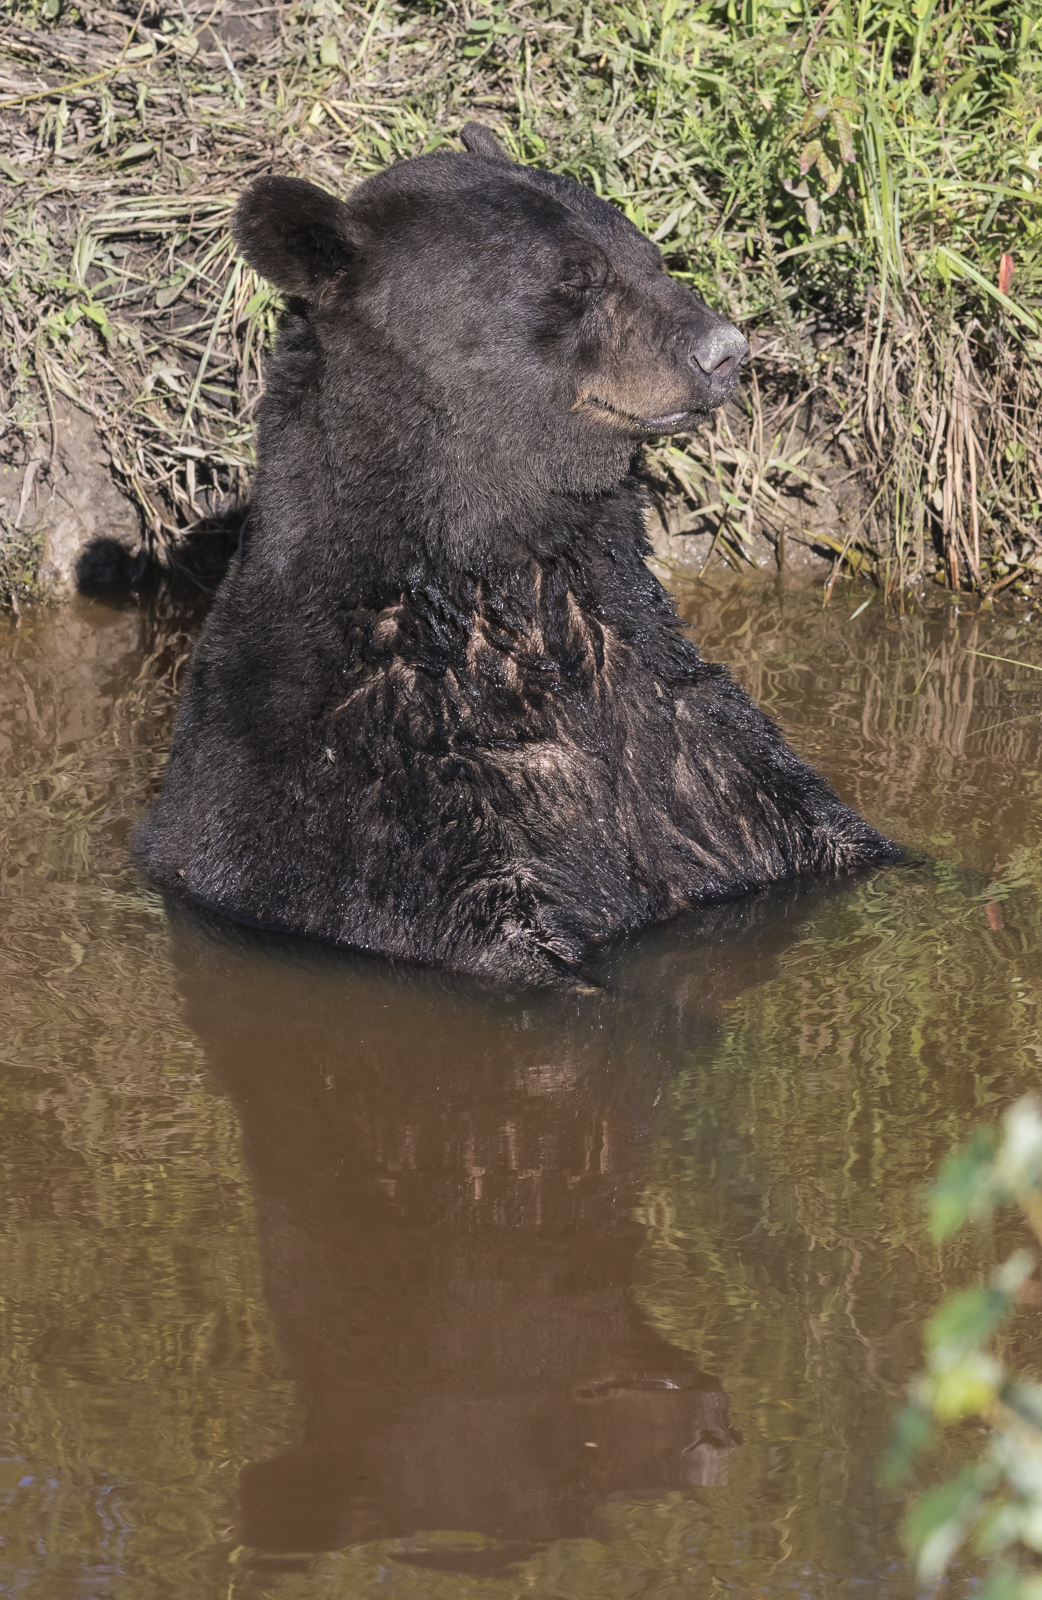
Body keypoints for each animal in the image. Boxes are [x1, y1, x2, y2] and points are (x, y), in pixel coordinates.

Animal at [138, 122, 898, 988]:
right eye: (576, 277)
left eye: (649, 252)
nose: (726, 351)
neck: (510, 585)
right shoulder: (382, 796)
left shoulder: (698, 746)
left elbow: (826, 829)